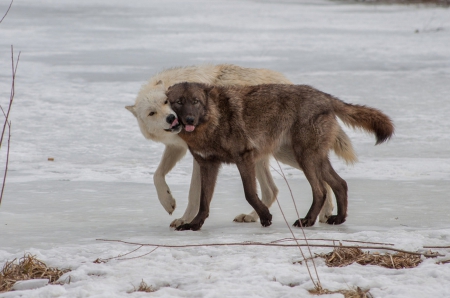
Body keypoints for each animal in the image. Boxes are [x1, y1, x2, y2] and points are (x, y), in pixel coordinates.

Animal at [125, 64, 356, 227]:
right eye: (152, 112)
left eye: (166, 102)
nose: (171, 119)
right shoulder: (179, 148)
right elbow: (157, 175)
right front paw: (168, 201)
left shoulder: (200, 156)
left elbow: (194, 193)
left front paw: (184, 219)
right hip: (269, 155)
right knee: (273, 190)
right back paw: (253, 217)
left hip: (290, 154)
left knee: (318, 183)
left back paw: (324, 214)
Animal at [166, 81, 394, 230]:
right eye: (179, 102)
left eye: (196, 101)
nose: (189, 119)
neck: (213, 120)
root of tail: (323, 95)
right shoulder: (207, 164)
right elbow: (204, 201)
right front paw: (194, 224)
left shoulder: (244, 158)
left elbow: (249, 193)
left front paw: (265, 217)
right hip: (311, 159)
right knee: (340, 184)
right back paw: (338, 219)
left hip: (304, 158)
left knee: (321, 190)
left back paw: (307, 221)